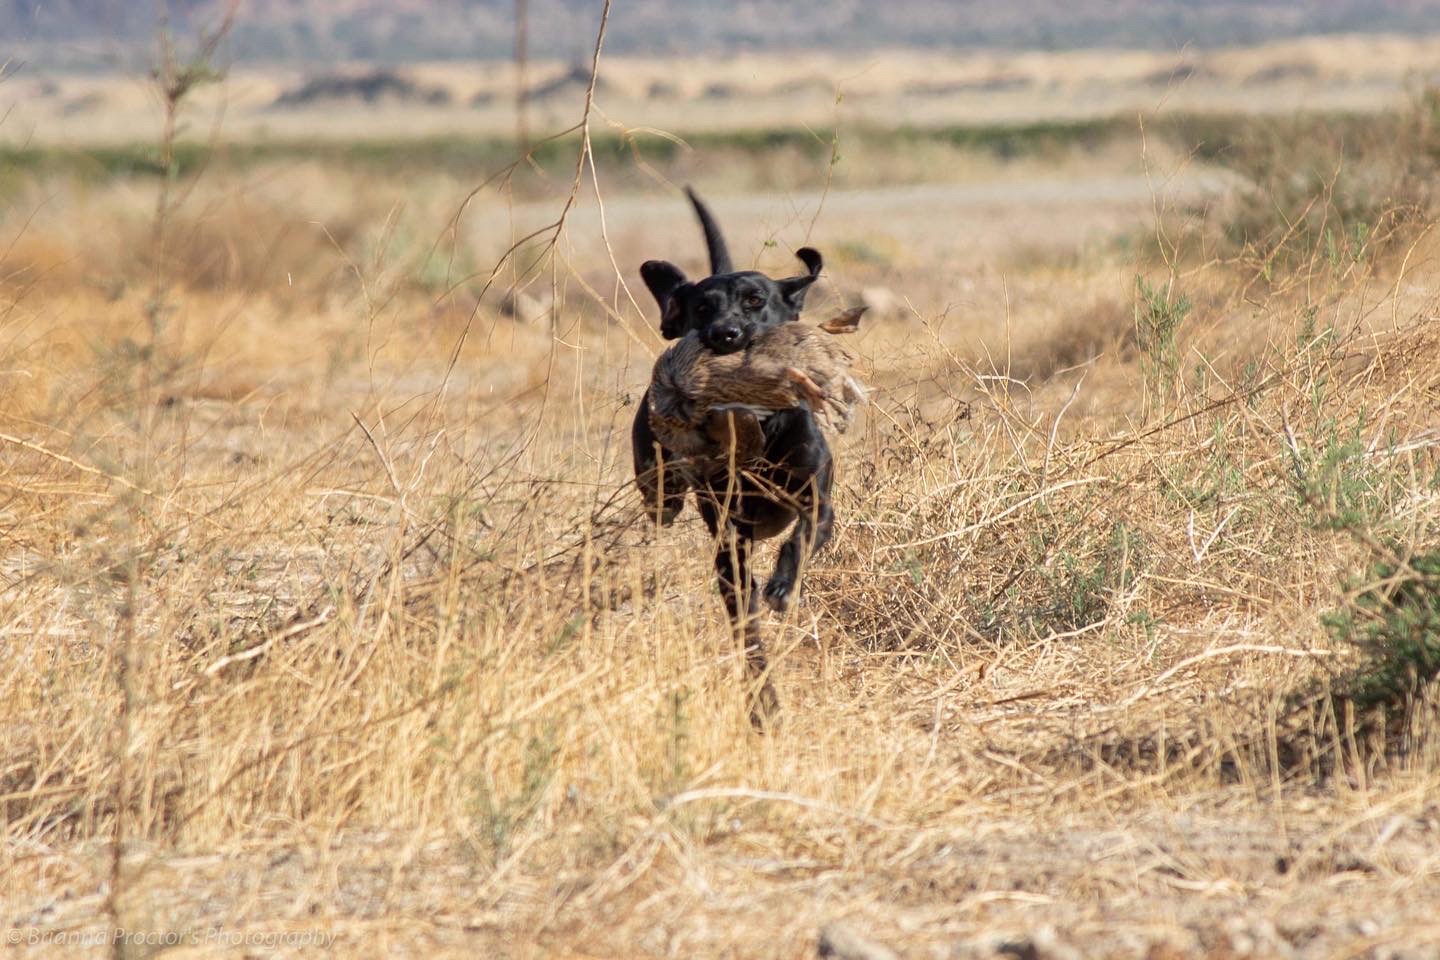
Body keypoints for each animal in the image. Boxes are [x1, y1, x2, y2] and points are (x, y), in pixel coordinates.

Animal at [630, 189, 835, 728]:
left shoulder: (819, 503)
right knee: (663, 503)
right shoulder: (730, 548)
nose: (725, 334)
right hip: (659, 489)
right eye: (702, 307)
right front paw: (763, 703)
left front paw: (783, 585)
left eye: (756, 300)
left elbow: (800, 540)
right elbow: (747, 631)